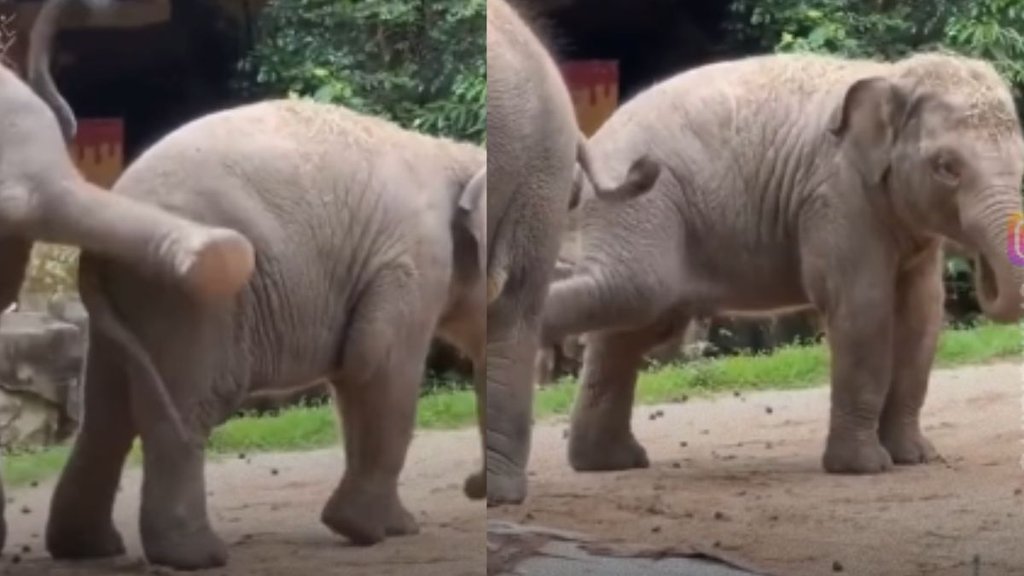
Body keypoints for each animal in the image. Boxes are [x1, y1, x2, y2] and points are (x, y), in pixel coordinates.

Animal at [539, 52, 1024, 475]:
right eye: (946, 167)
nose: (982, 268)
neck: (891, 74)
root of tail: (592, 147)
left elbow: (922, 314)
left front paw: (916, 458)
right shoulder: (836, 197)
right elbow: (862, 309)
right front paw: (864, 468)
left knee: (629, 327)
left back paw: (610, 463)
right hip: (643, 203)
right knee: (634, 296)